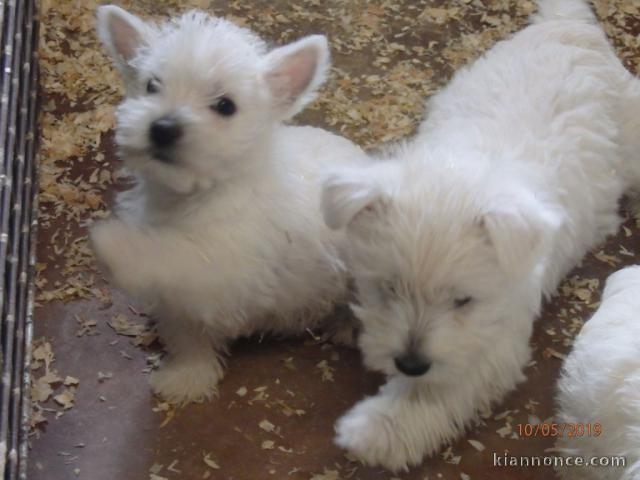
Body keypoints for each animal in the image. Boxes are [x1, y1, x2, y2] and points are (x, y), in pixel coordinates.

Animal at [92, 6, 368, 404]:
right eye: (152, 86)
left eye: (225, 106)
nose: (162, 128)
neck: (202, 194)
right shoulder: (189, 301)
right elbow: (187, 336)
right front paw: (186, 378)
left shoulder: (221, 268)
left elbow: (171, 257)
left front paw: (113, 244)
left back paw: (346, 325)